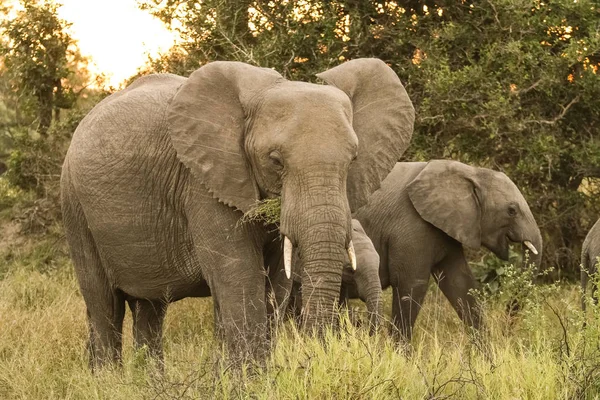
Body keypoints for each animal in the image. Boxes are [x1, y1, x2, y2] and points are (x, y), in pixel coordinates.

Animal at [62, 57, 418, 368]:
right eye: (275, 160)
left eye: (353, 159)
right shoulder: (203, 184)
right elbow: (239, 277)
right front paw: (249, 382)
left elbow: (275, 285)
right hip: (75, 207)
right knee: (104, 306)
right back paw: (109, 379)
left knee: (150, 308)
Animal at [352, 161, 544, 342]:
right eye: (512, 210)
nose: (506, 330)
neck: (471, 172)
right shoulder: (411, 226)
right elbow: (411, 285)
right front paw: (399, 353)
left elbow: (460, 283)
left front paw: (488, 354)